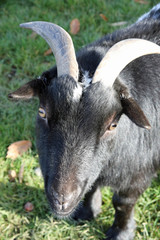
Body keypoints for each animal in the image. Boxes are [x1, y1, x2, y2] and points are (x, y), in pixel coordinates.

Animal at [9, 4, 160, 240]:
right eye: (42, 112)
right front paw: (86, 213)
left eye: (112, 125)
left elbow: (123, 202)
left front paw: (121, 233)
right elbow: (91, 187)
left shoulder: (139, 172)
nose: (62, 201)